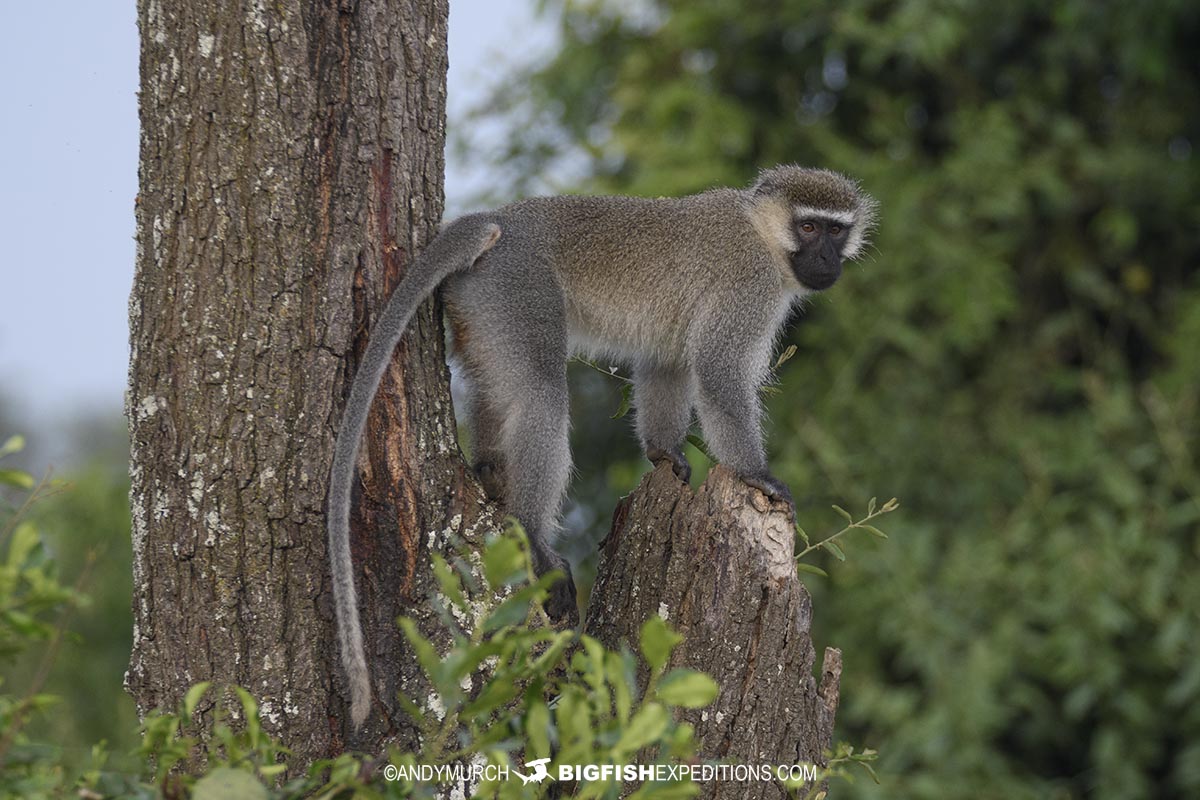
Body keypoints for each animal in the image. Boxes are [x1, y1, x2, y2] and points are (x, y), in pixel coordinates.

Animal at [333, 163, 878, 724]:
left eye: (836, 230)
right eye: (809, 228)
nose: (827, 259)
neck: (763, 233)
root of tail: (496, 220)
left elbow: (668, 360)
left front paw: (663, 452)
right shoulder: (748, 288)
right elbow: (718, 373)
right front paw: (756, 474)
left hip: (478, 303)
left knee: (498, 387)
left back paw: (488, 471)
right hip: (516, 288)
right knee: (539, 391)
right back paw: (533, 535)